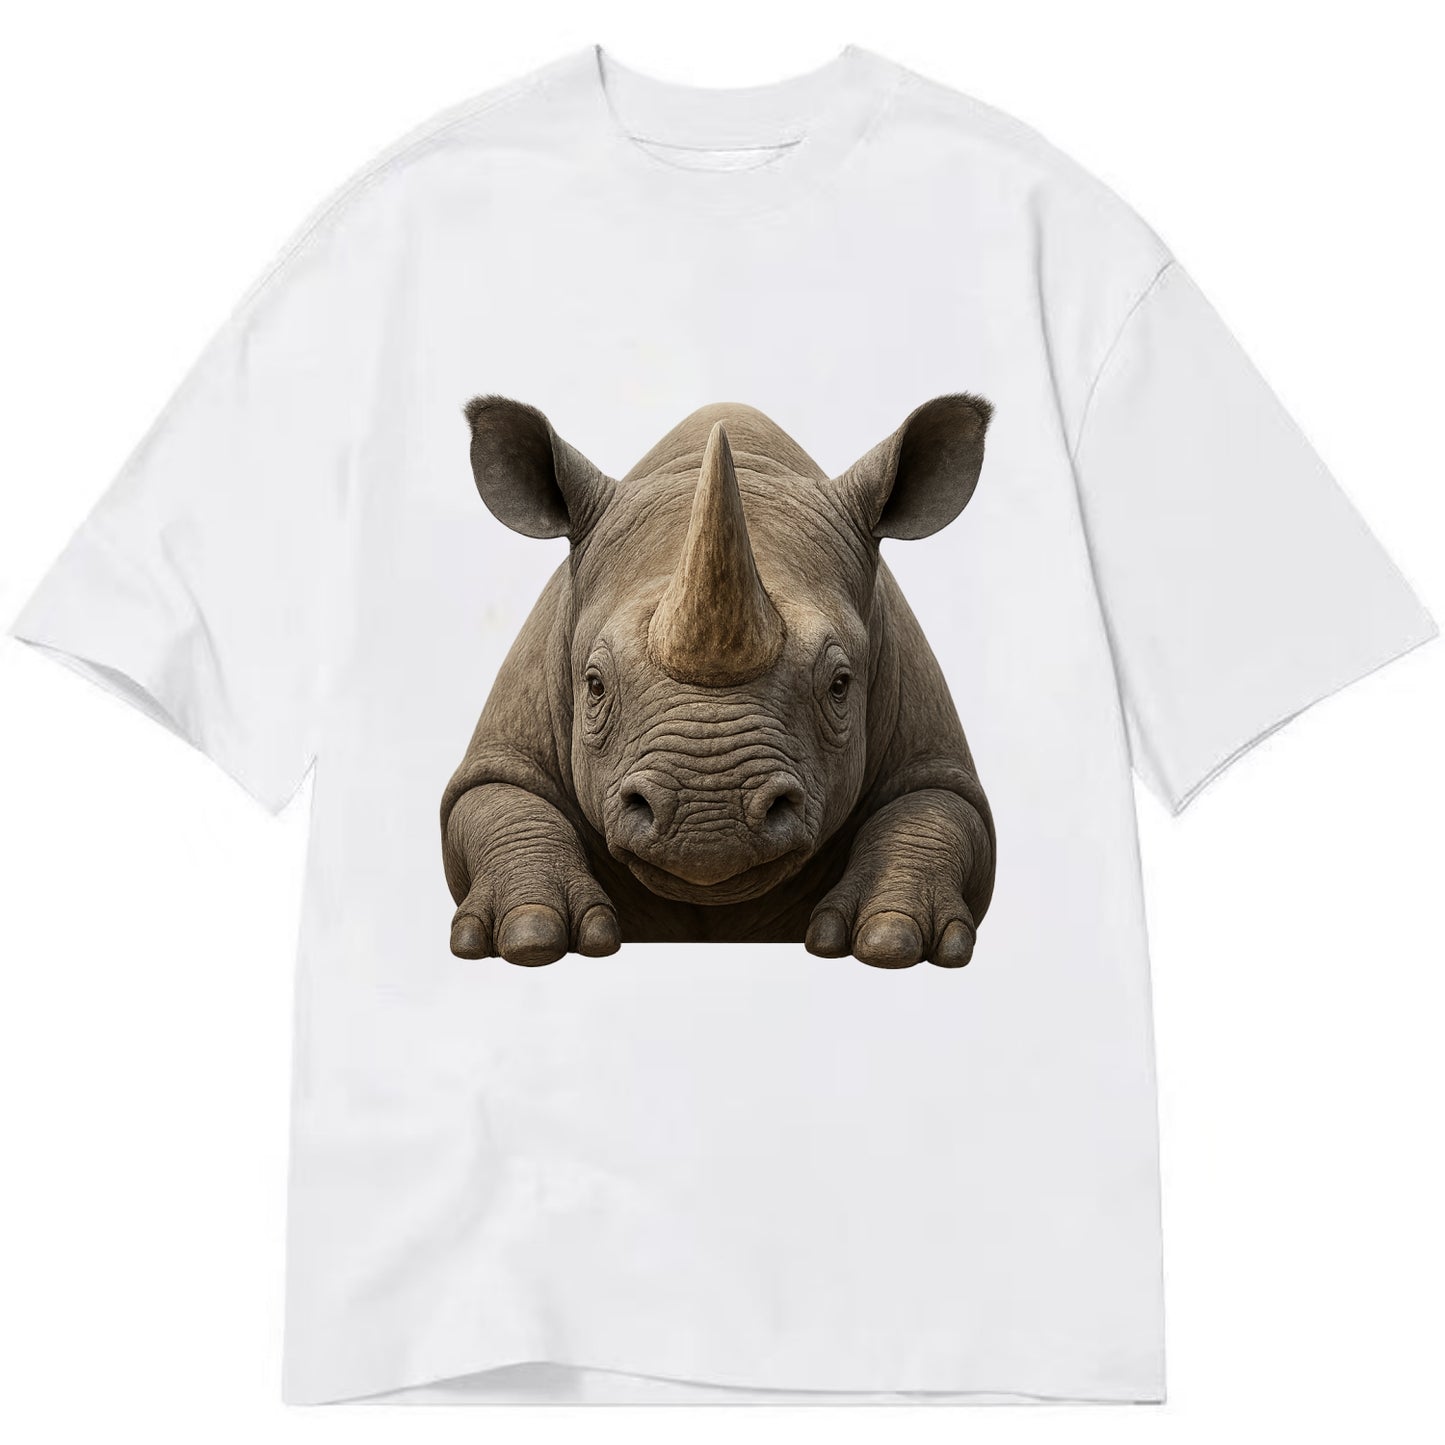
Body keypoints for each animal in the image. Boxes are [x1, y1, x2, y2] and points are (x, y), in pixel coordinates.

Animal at [441, 395, 996, 969]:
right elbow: (499, 798)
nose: (709, 821)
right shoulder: (506, 746)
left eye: (840, 685)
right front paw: (530, 936)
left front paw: (892, 940)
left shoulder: (929, 746)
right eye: (594, 685)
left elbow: (935, 809)